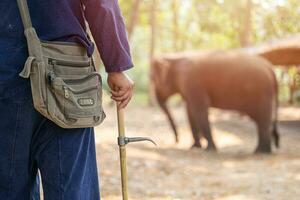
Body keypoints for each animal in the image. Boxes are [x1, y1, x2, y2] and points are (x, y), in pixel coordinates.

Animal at [151, 50, 280, 153]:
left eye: (152, 80)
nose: (176, 141)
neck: (175, 56)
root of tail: (271, 69)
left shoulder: (193, 83)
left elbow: (199, 110)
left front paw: (209, 149)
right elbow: (190, 112)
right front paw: (194, 147)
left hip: (263, 93)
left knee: (263, 120)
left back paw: (261, 152)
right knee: (261, 121)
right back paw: (261, 150)